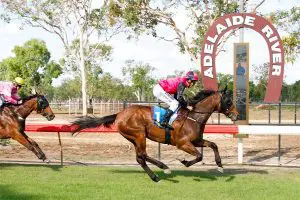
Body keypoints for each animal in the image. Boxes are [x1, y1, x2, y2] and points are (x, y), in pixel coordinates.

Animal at [72, 87, 239, 181]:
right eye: (229, 101)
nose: (236, 116)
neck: (194, 117)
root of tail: (119, 114)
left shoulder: (196, 140)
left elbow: (214, 145)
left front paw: (220, 166)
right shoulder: (182, 143)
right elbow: (199, 156)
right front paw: (184, 162)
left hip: (133, 138)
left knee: (140, 158)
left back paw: (155, 176)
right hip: (139, 135)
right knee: (143, 155)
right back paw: (164, 167)